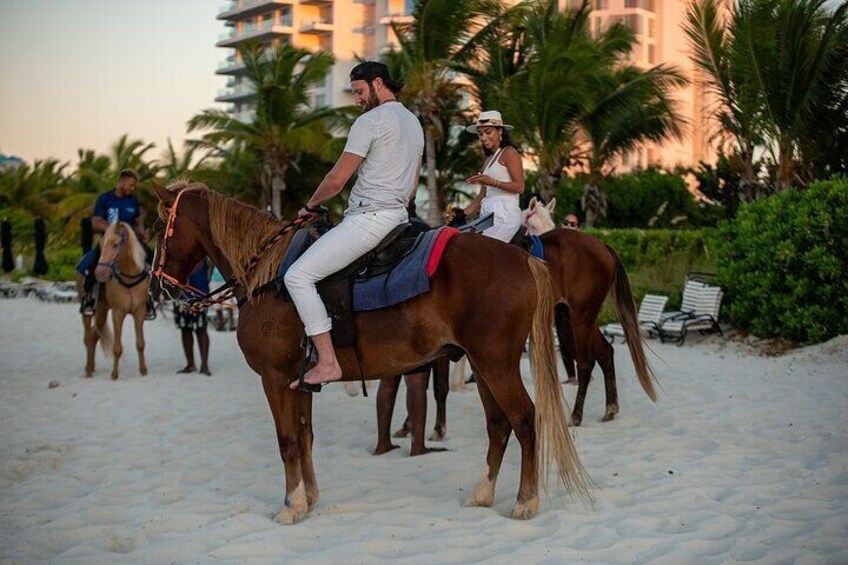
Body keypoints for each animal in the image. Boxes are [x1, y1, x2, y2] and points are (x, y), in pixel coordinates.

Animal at [76, 220, 149, 378]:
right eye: (101, 244)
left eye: (116, 244)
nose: (99, 273)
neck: (128, 278)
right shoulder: (118, 313)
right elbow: (117, 347)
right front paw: (114, 375)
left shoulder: (139, 311)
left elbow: (140, 343)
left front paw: (143, 370)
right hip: (90, 311)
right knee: (88, 336)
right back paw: (88, 369)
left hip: (102, 310)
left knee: (94, 334)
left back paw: (92, 366)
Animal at [151, 183, 588, 524]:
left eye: (157, 227)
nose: (158, 287)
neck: (267, 278)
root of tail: (524, 258)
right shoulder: (299, 381)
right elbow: (305, 436)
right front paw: (310, 499)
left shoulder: (275, 378)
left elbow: (287, 439)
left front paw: (291, 506)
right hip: (484, 366)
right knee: (498, 425)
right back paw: (482, 494)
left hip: (496, 365)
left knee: (525, 420)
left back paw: (525, 502)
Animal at [520, 197, 660, 424]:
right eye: (531, 226)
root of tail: (603, 246)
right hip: (581, 317)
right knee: (605, 351)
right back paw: (610, 407)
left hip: (580, 317)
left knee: (586, 363)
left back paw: (577, 415)